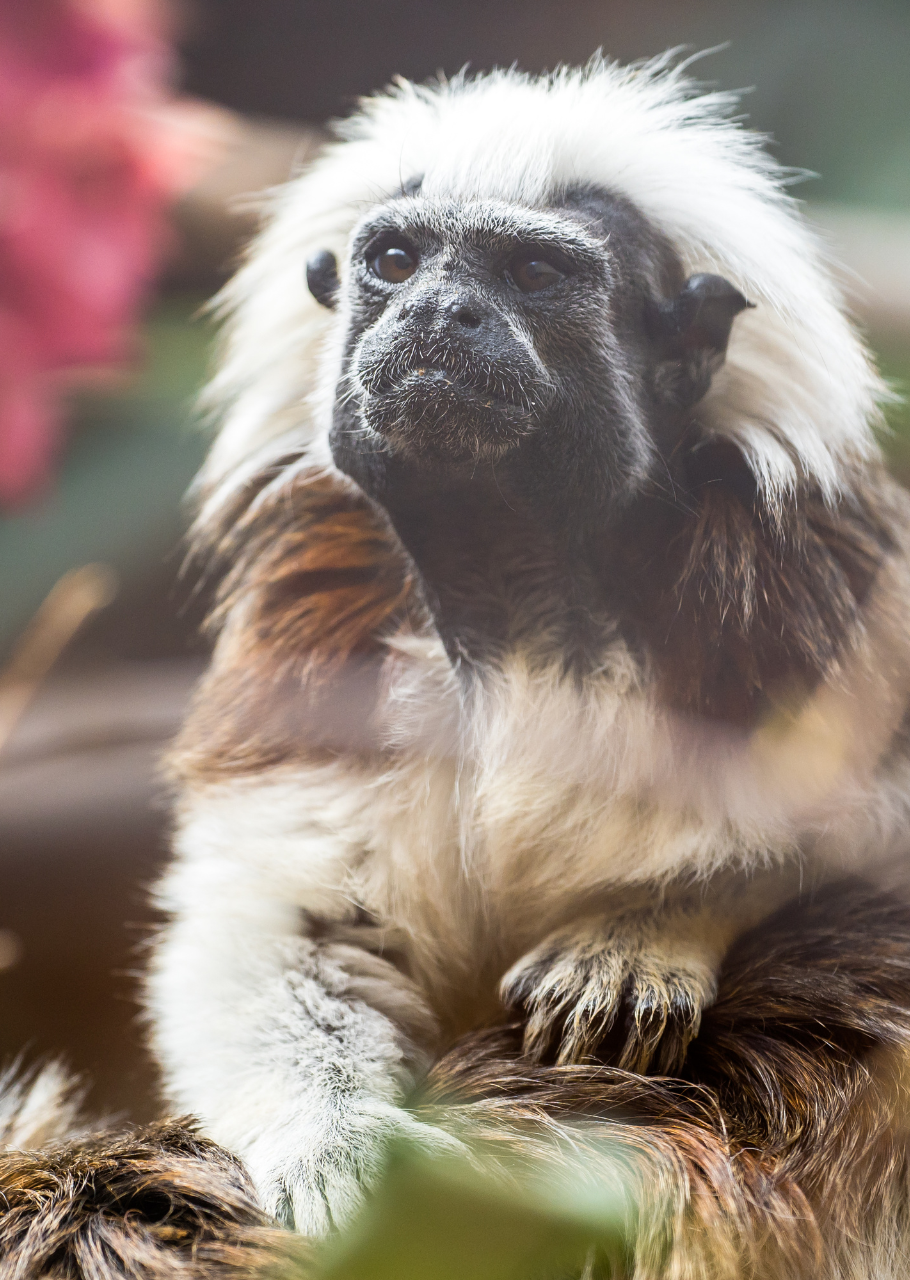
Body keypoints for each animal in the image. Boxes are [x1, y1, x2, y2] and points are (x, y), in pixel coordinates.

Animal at [145, 57, 910, 1275]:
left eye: (535, 273)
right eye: (396, 262)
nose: (437, 313)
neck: (518, 607)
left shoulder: (813, 611)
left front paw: (643, 935)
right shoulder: (321, 663)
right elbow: (283, 922)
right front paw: (336, 1145)